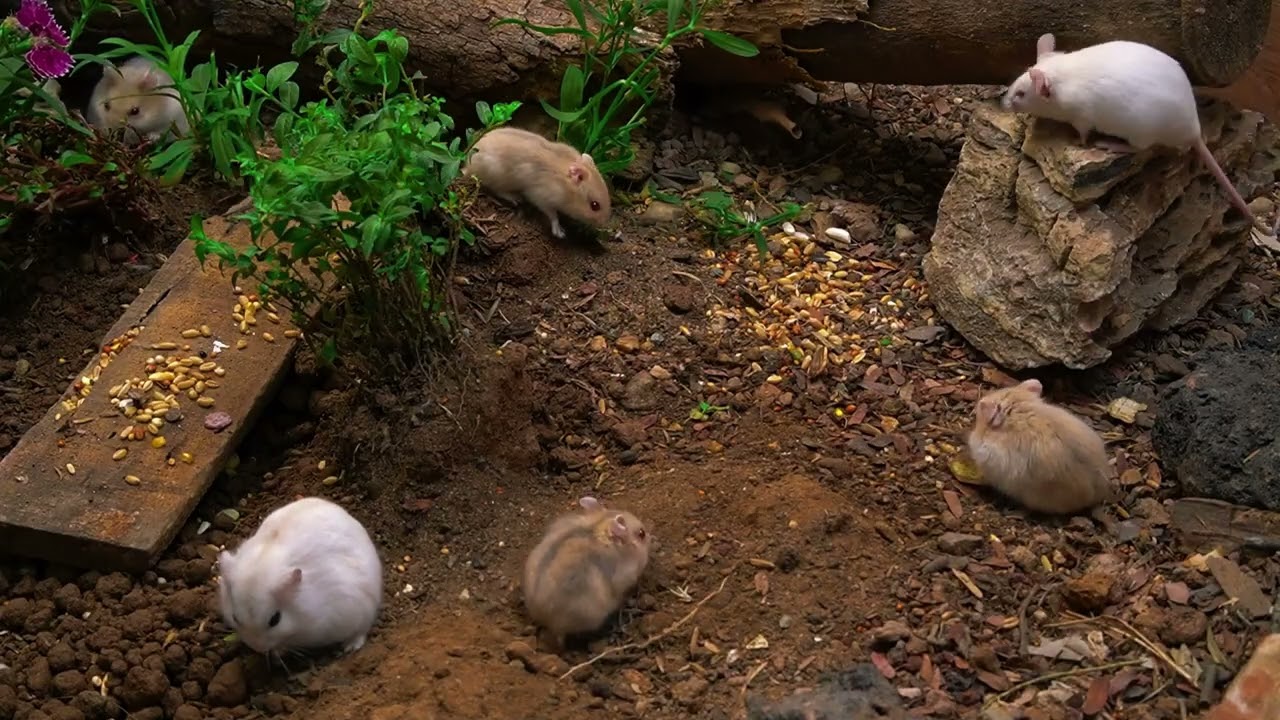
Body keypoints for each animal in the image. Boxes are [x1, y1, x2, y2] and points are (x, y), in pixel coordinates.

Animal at [462, 127, 611, 239]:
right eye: (594, 205)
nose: (605, 224)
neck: (565, 185)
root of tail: (466, 167)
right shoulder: (541, 197)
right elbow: (553, 215)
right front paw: (560, 233)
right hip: (496, 175)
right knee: (497, 190)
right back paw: (516, 198)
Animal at [1001, 35, 1262, 229]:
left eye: (1021, 94)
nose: (1003, 103)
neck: (1061, 78)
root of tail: (1194, 132)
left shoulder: (1082, 118)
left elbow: (1082, 133)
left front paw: (1077, 141)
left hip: (1139, 131)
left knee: (1139, 149)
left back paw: (1110, 144)